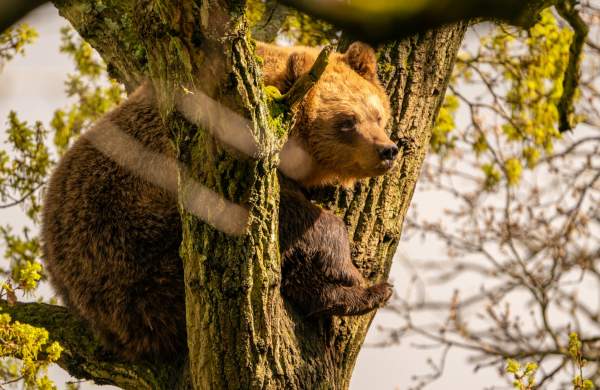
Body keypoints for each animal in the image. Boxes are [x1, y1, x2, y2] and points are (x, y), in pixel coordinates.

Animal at [41, 41, 398, 362]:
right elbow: (292, 219)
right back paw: (366, 293)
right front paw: (348, 269)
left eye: (378, 116)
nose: (387, 150)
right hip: (135, 257)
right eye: (347, 121)